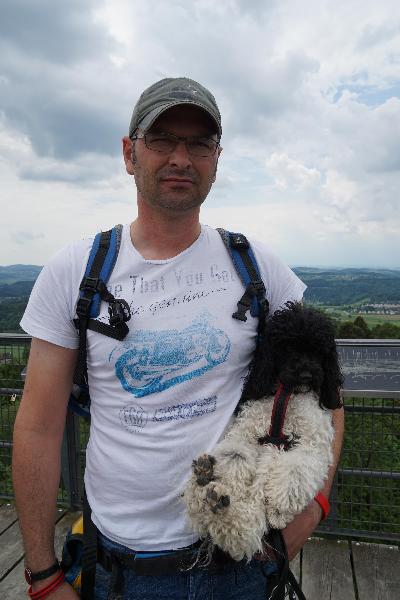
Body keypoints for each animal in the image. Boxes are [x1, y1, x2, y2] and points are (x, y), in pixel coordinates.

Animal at [183, 302, 343, 562]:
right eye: (287, 347)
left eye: (319, 351)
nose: (306, 375)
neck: (286, 395)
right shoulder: (246, 434)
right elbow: (236, 455)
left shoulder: (312, 442)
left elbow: (295, 469)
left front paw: (279, 506)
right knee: (237, 531)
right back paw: (205, 484)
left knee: (243, 531)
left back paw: (218, 501)